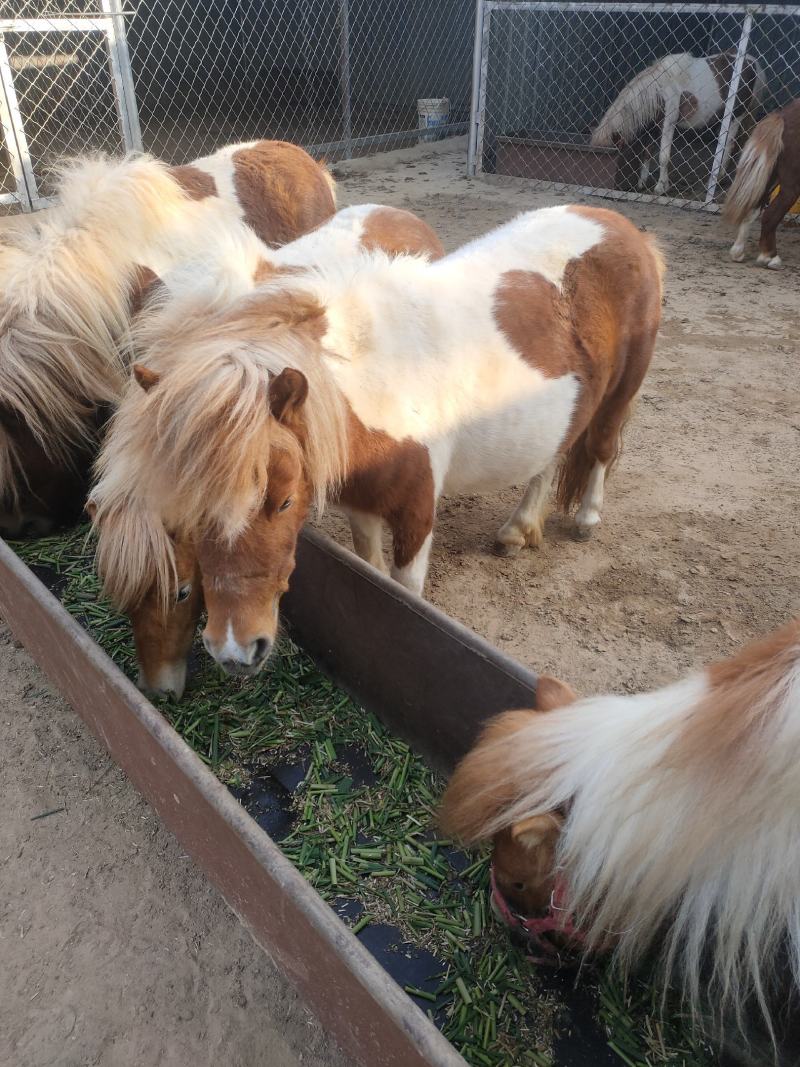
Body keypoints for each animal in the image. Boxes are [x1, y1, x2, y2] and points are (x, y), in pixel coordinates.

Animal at [591, 51, 766, 196]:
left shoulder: (668, 123)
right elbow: (646, 153)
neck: (659, 89)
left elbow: (663, 156)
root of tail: (752, 62)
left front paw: (661, 187)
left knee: (728, 145)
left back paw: (716, 180)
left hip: (736, 117)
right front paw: (642, 183)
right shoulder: (653, 127)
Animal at [725, 98, 800, 270]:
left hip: (771, 176)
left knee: (753, 208)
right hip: (791, 185)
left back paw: (738, 252)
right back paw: (770, 257)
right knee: (770, 214)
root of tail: (783, 117)